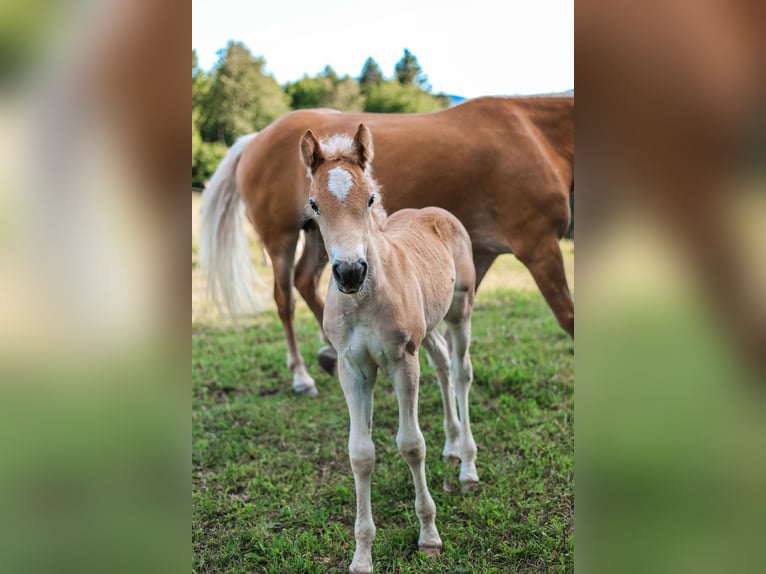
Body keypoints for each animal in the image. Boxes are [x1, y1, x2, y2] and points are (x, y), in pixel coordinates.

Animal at [199, 95, 574, 395]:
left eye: (371, 199)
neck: (536, 135)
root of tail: (254, 138)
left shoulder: (477, 256)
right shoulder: (538, 246)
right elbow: (569, 317)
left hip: (317, 239)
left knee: (304, 281)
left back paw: (330, 352)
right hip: (282, 239)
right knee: (285, 299)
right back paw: (301, 377)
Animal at [300, 123, 477, 573]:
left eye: (370, 199)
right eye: (314, 205)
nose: (349, 271)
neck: (364, 301)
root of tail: (435, 211)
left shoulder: (401, 360)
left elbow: (411, 445)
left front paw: (429, 536)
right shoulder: (352, 368)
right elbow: (361, 454)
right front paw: (362, 555)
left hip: (459, 313)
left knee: (462, 372)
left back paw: (468, 466)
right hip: (428, 328)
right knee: (443, 364)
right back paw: (452, 447)